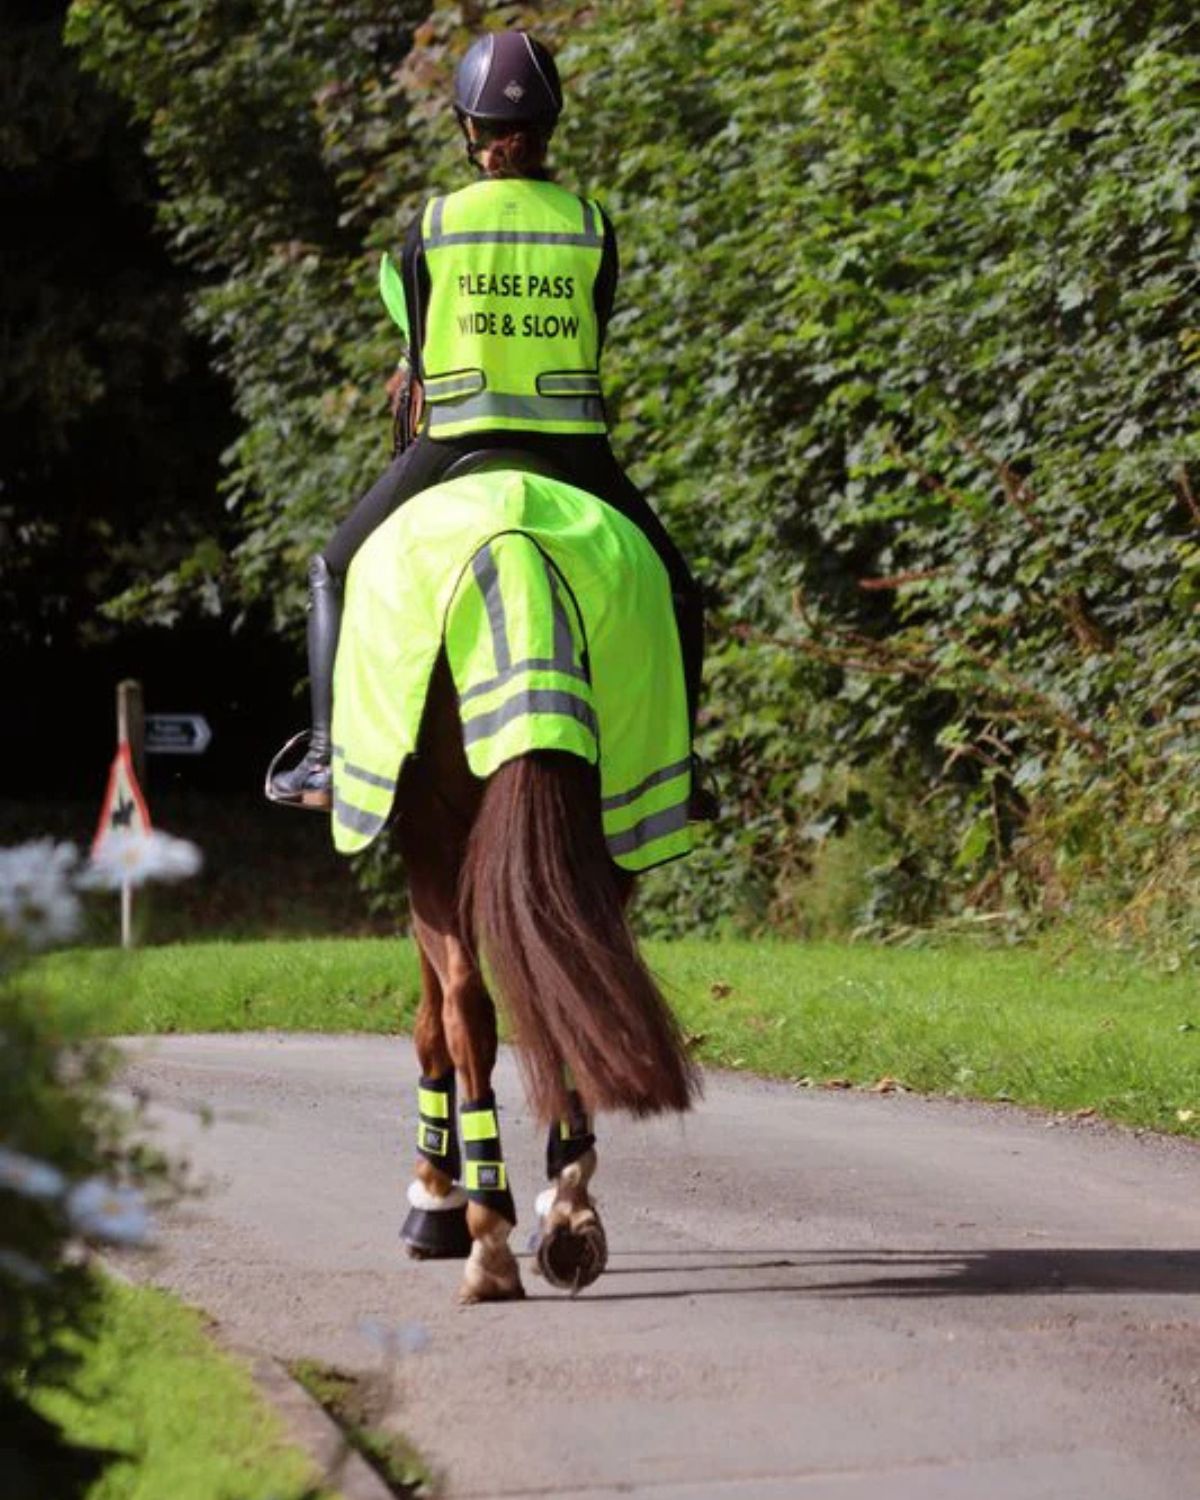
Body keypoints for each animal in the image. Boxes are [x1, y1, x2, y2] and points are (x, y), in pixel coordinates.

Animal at [331, 454, 700, 1303]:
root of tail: (517, 537)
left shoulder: (423, 862)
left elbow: (431, 1024)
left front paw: (432, 1200)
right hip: (607, 834)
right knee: (574, 985)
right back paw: (567, 1214)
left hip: (435, 842)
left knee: (469, 1009)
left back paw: (487, 1236)